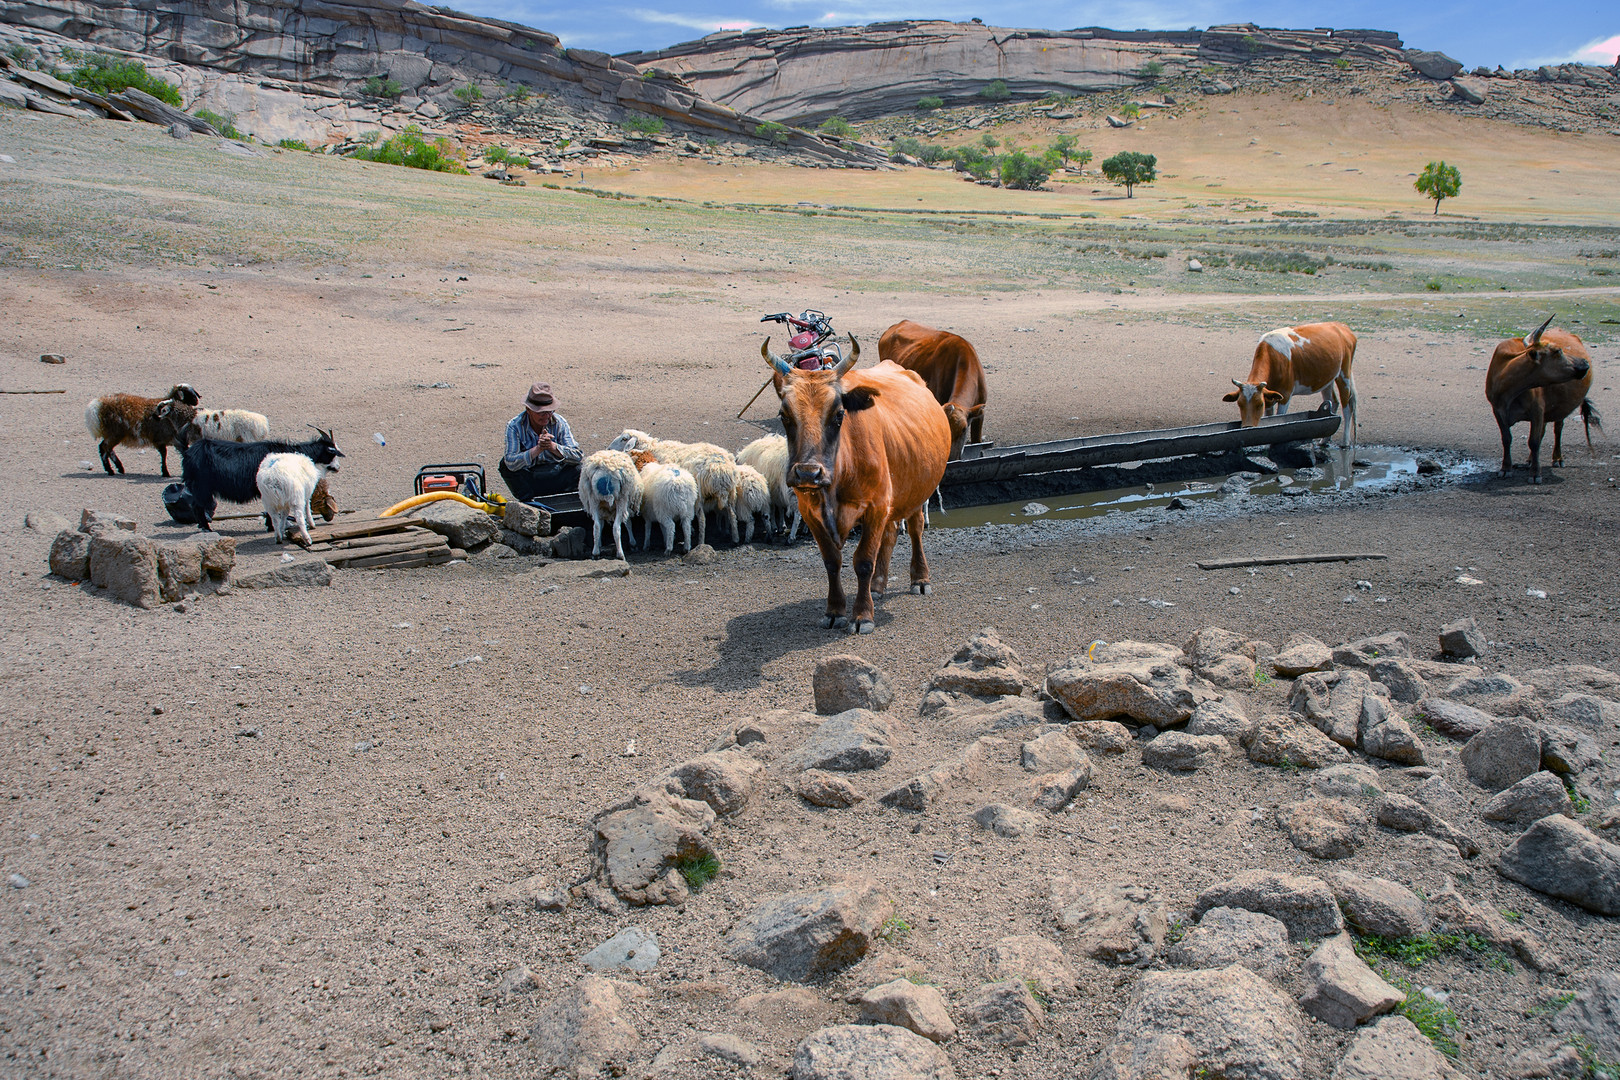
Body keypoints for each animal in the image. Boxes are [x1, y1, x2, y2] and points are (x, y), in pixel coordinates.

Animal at [764, 338, 952, 634]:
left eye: (839, 414)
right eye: (784, 415)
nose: (808, 473)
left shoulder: (875, 506)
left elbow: (863, 561)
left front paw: (862, 615)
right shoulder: (811, 512)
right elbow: (832, 561)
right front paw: (834, 611)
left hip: (917, 491)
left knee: (915, 529)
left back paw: (920, 579)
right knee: (889, 534)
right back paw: (878, 586)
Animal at [1218, 318, 1360, 446]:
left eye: (1259, 404)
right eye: (1239, 404)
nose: (1247, 427)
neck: (1273, 357)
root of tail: (1341, 326)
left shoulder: (1285, 395)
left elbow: (1279, 419)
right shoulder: (1269, 396)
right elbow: (1269, 418)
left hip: (1344, 373)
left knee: (1347, 406)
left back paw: (1345, 442)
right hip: (1327, 377)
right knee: (1333, 401)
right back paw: (1324, 440)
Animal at [1483, 312, 1600, 482]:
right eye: (1557, 351)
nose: (1585, 364)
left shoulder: (1537, 410)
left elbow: (1534, 441)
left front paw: (1535, 474)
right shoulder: (1497, 410)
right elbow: (1506, 439)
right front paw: (1505, 468)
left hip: (1560, 409)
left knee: (1557, 429)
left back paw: (1557, 458)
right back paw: (1530, 460)